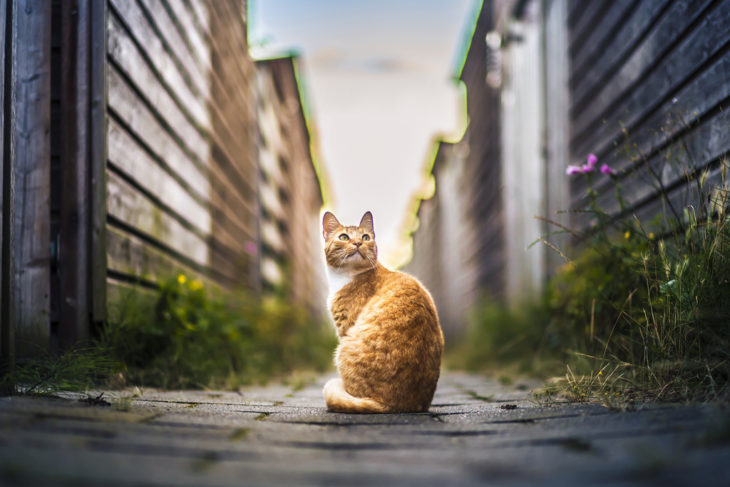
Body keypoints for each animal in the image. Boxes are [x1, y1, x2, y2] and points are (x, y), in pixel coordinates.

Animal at [320, 212, 444, 414]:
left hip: (343, 348)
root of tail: (396, 406)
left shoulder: (345, 327)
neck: (346, 276)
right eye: (344, 237)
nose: (358, 243)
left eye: (365, 237)